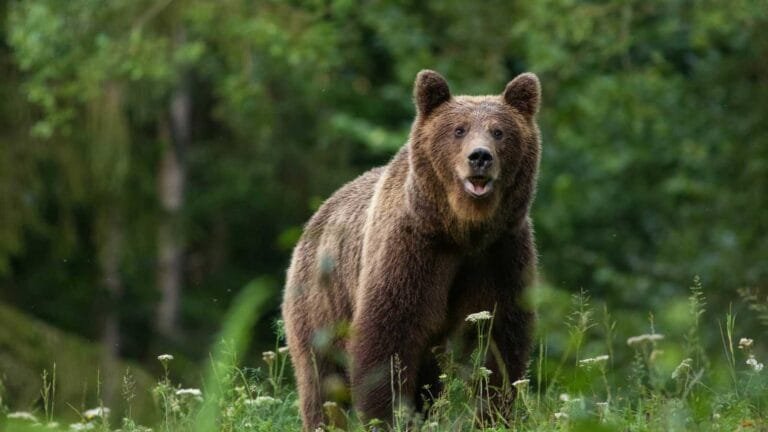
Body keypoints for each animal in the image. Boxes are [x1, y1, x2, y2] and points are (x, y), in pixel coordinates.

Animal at [282, 69, 541, 430]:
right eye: (458, 130)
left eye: (499, 131)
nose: (480, 157)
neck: (462, 230)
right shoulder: (412, 250)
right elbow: (388, 338)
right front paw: (388, 416)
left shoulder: (500, 252)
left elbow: (499, 341)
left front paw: (493, 414)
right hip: (320, 303)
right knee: (322, 380)